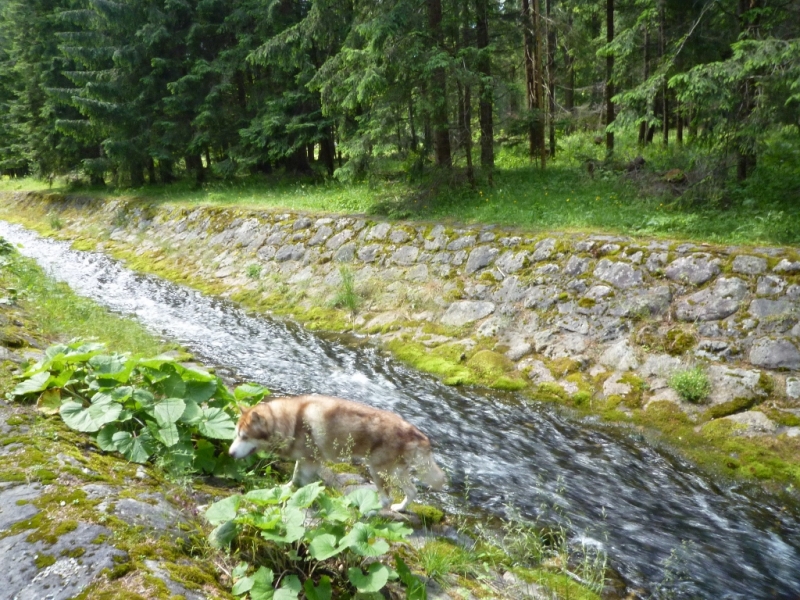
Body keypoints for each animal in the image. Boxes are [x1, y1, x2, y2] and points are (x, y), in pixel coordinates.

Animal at [228, 394, 446, 510]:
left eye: (245, 437)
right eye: (236, 434)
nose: (229, 454)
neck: (292, 422)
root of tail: (418, 434)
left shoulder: (311, 461)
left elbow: (300, 483)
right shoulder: (305, 460)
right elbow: (295, 480)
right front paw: (284, 490)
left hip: (377, 471)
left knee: (386, 499)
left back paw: (370, 513)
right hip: (397, 473)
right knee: (412, 491)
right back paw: (400, 509)